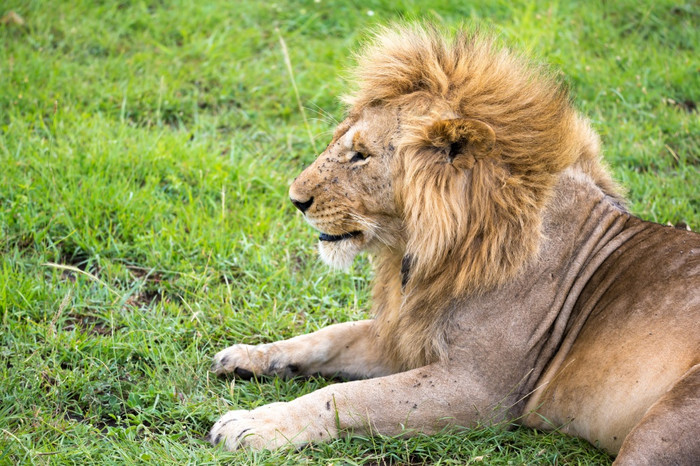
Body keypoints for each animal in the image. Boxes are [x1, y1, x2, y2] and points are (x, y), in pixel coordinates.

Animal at [208, 26, 700, 466]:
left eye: (360, 155)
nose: (295, 199)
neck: (420, 253)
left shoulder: (480, 390)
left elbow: (345, 396)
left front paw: (255, 424)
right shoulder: (407, 335)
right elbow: (330, 336)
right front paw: (249, 356)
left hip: (665, 424)